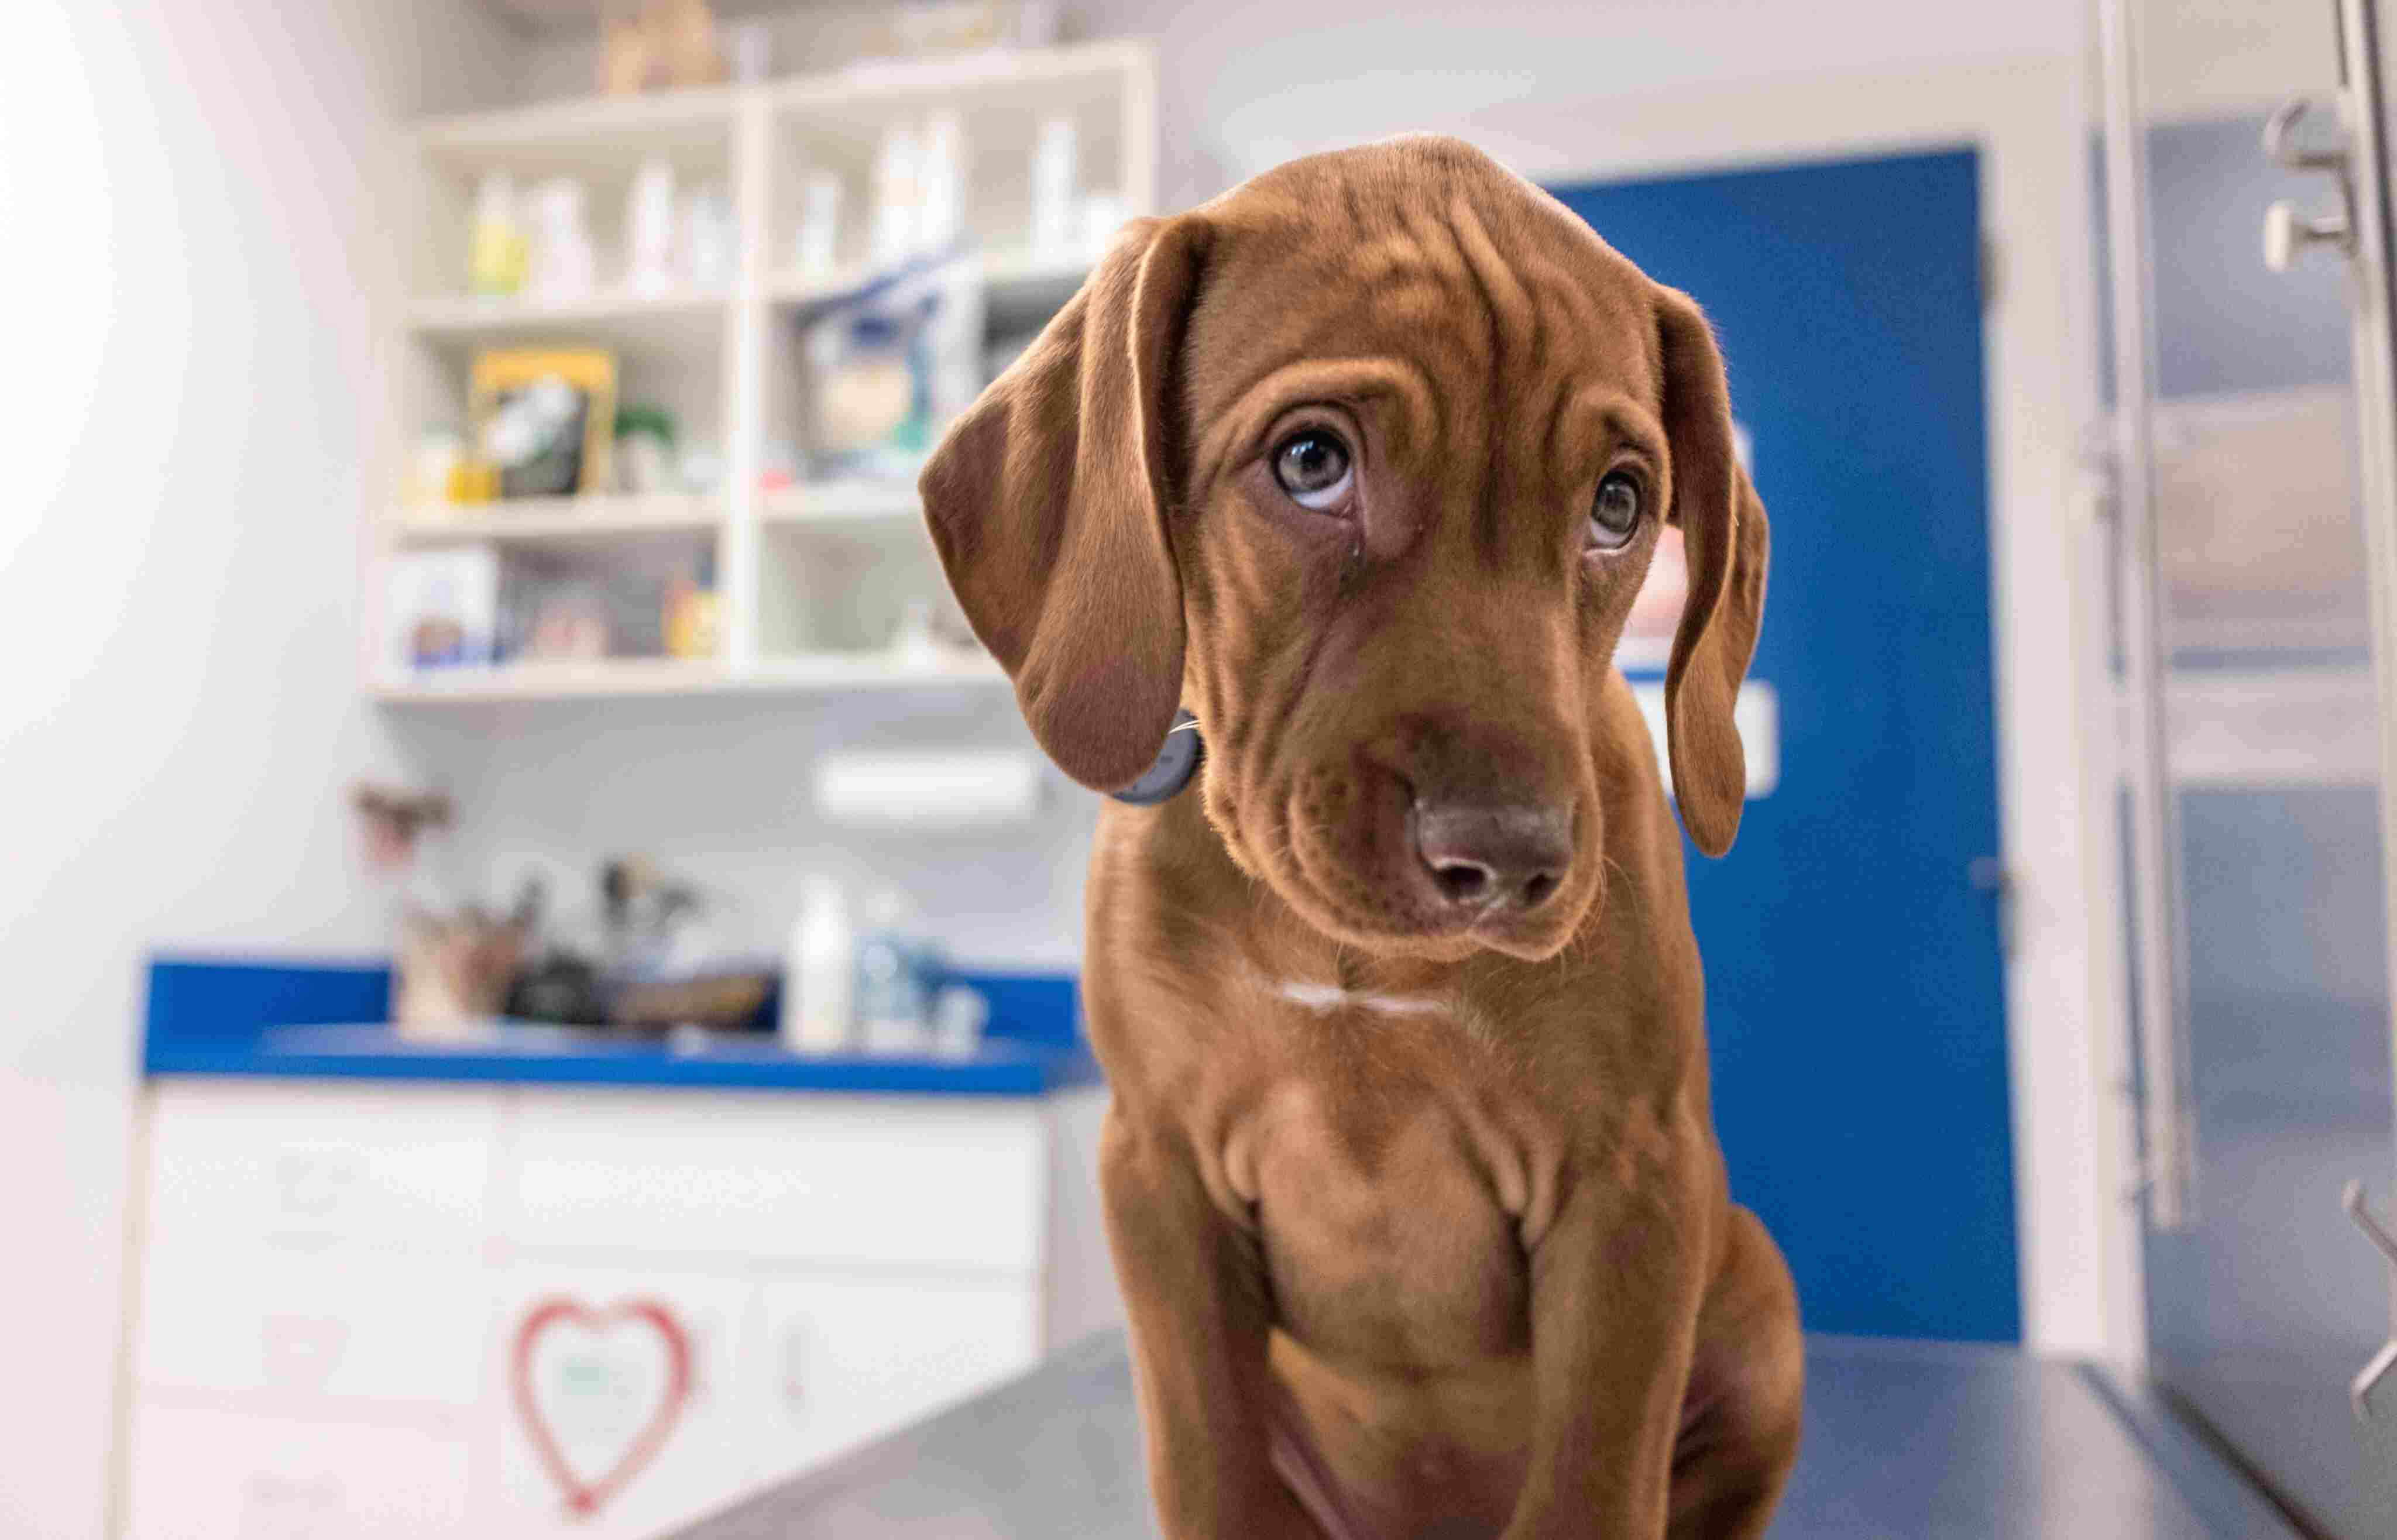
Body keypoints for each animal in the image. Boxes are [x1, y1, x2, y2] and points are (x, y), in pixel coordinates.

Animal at [915, 135, 1802, 1540]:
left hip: (1757, 1296)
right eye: (1311, 463)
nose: (1507, 857)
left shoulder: (1633, 1181)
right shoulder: (1158, 1174)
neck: (1350, 956)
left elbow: (1595, 1478)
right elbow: (1210, 1464)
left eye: (1616, 505)